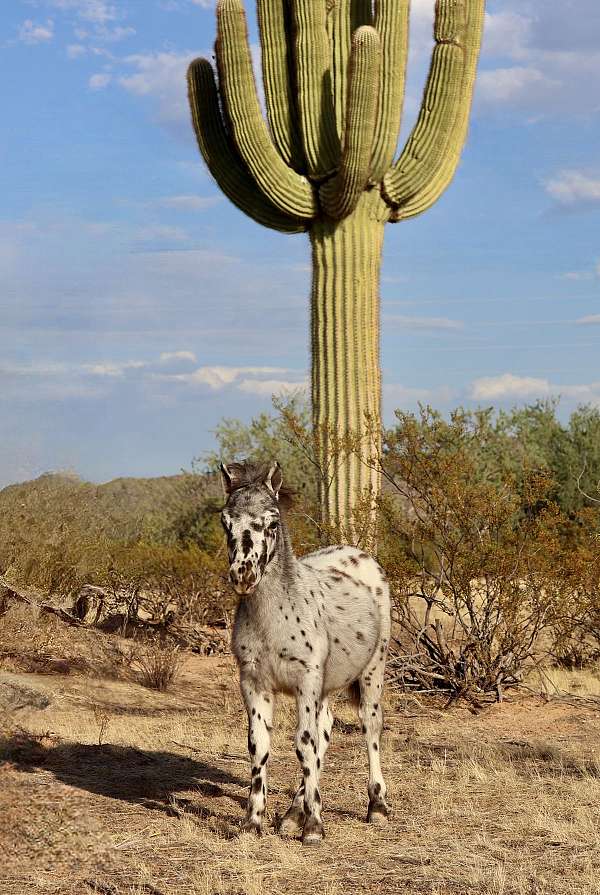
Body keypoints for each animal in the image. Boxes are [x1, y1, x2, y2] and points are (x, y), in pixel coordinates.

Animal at [220, 462, 394, 848]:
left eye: (272, 522)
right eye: (226, 521)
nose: (243, 575)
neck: (273, 618)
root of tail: (358, 554)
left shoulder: (306, 682)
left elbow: (303, 743)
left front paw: (314, 827)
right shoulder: (254, 682)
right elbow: (260, 745)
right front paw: (253, 822)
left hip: (371, 674)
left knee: (369, 728)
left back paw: (376, 806)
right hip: (326, 686)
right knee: (324, 730)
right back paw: (292, 813)